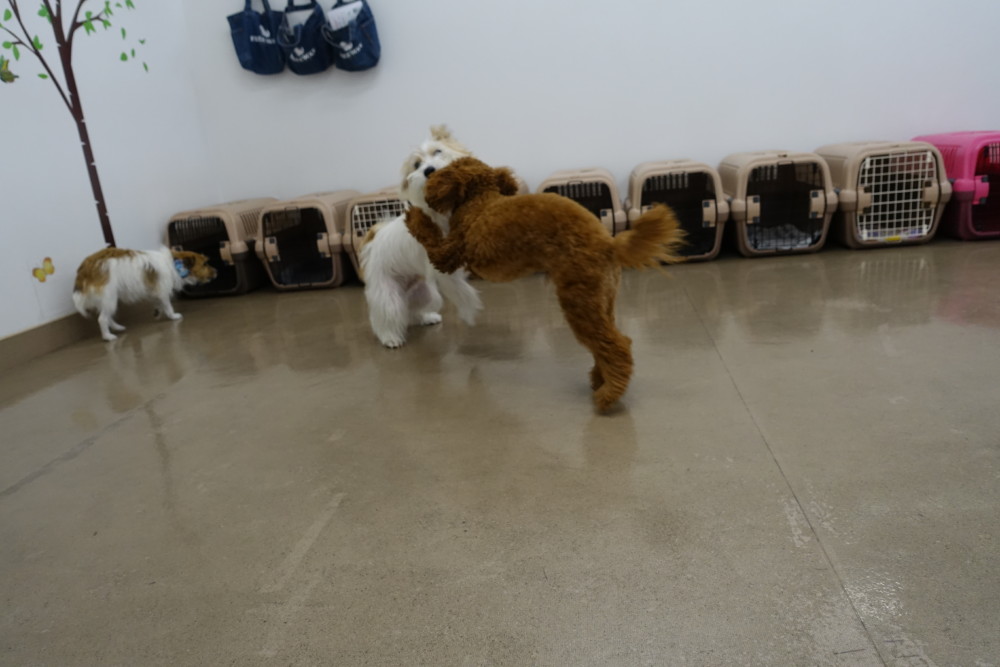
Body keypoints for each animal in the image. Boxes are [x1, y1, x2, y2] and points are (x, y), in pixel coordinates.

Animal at [72, 247, 216, 341]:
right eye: (205, 264)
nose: (217, 271)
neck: (173, 264)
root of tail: (85, 268)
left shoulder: (154, 292)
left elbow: (158, 303)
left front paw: (157, 311)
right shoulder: (162, 290)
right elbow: (167, 305)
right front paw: (173, 316)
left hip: (109, 300)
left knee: (108, 317)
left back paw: (118, 327)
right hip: (109, 298)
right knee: (102, 319)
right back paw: (108, 336)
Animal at [360, 126, 483, 348]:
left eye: (438, 151)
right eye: (416, 165)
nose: (428, 170)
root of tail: (375, 239)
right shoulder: (442, 263)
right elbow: (460, 290)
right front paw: (470, 309)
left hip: (426, 294)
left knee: (412, 312)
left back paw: (427, 318)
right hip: (388, 295)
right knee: (385, 317)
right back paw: (390, 338)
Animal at [405, 156, 685, 412]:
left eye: (441, 168)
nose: (427, 174)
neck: (480, 201)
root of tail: (609, 244)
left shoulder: (448, 254)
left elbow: (427, 234)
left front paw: (412, 213)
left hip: (579, 299)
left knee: (616, 345)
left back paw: (608, 396)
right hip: (602, 299)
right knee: (608, 342)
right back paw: (600, 379)